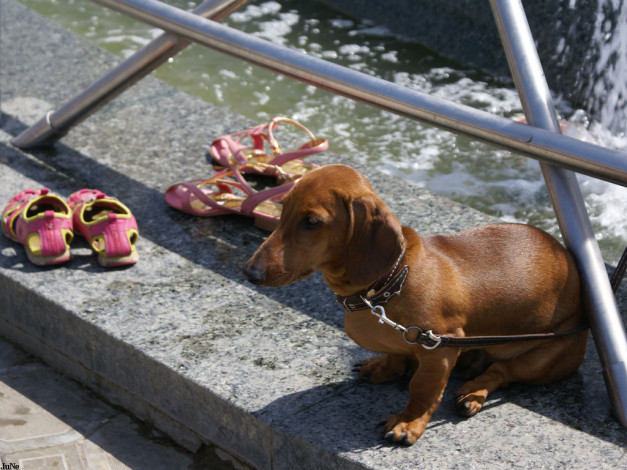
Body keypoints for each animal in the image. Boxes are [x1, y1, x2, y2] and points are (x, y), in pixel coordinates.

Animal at [244, 164, 588, 444]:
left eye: (312, 221)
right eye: (282, 209)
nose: (250, 273)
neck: (388, 284)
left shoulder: (441, 347)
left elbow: (423, 388)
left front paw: (409, 423)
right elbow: (395, 354)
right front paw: (385, 367)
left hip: (542, 357)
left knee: (502, 370)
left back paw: (474, 392)